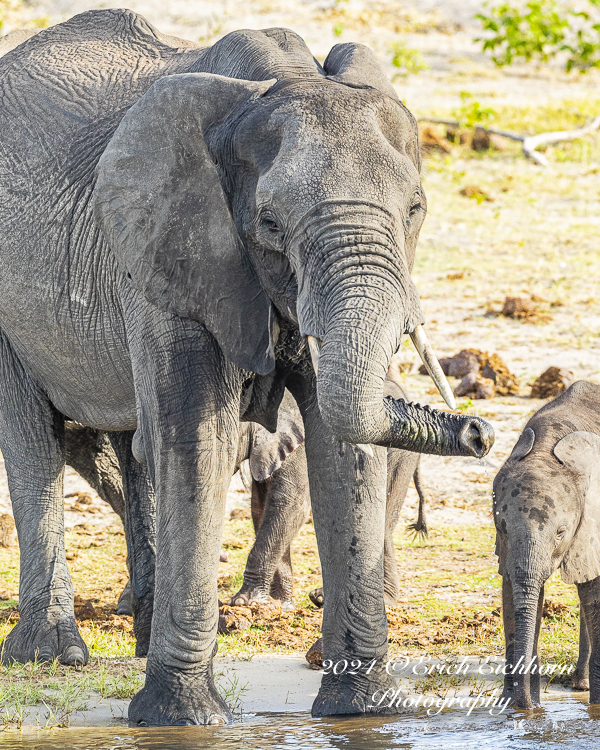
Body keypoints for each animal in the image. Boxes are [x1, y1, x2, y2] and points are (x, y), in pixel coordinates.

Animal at [0, 13, 492, 728]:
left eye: (415, 210)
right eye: (269, 222)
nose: (479, 431)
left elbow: (341, 445)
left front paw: (362, 712)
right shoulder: (169, 250)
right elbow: (198, 439)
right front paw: (181, 721)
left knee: (132, 444)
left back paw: (140, 630)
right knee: (35, 438)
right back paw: (52, 654)